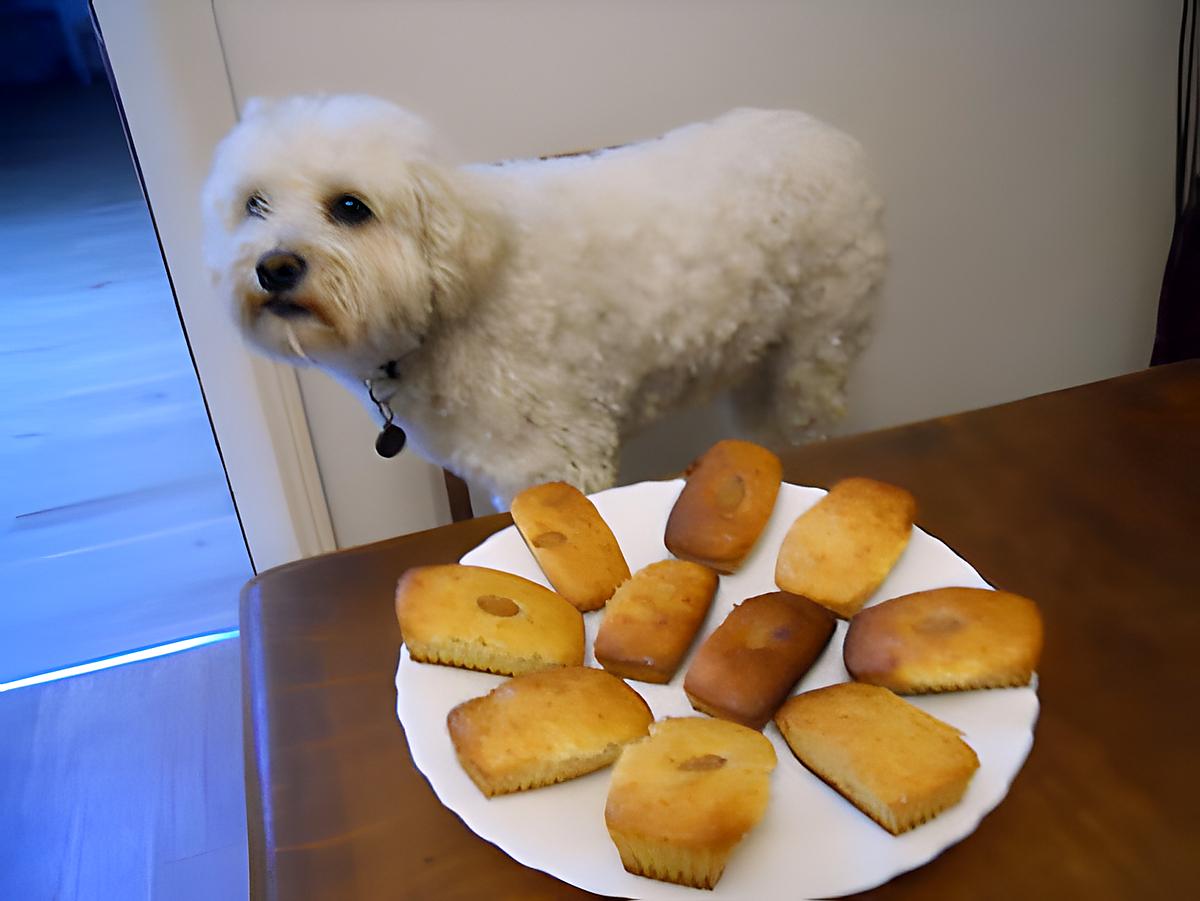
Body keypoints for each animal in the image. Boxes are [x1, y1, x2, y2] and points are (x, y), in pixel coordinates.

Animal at [204, 98, 883, 508]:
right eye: (255, 204)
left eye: (350, 207)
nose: (275, 267)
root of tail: (833, 139)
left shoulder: (558, 458)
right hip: (762, 362)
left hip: (814, 349)